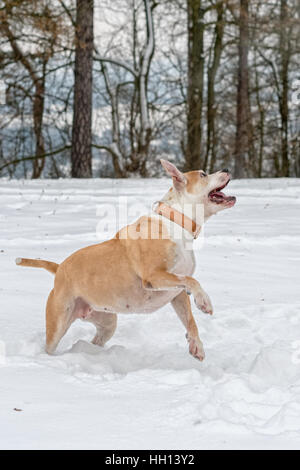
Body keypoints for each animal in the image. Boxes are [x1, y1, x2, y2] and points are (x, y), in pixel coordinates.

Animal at [15, 160, 237, 362]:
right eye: (203, 174)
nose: (227, 168)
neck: (176, 221)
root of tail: (60, 267)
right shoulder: (153, 276)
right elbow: (193, 281)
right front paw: (204, 301)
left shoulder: (177, 293)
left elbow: (189, 318)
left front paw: (196, 345)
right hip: (59, 320)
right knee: (51, 344)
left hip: (106, 320)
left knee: (97, 339)